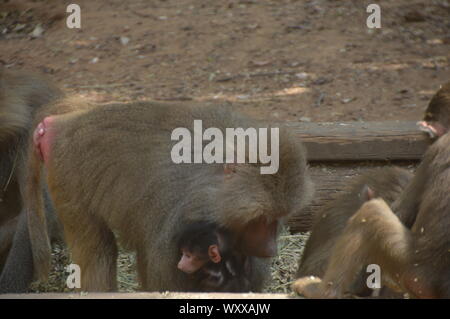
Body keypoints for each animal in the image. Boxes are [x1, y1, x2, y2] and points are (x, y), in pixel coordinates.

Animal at [24, 100, 312, 292]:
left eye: (276, 218)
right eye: (260, 219)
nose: (270, 248)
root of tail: (64, 122)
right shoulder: (181, 217)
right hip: (67, 171)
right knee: (98, 252)